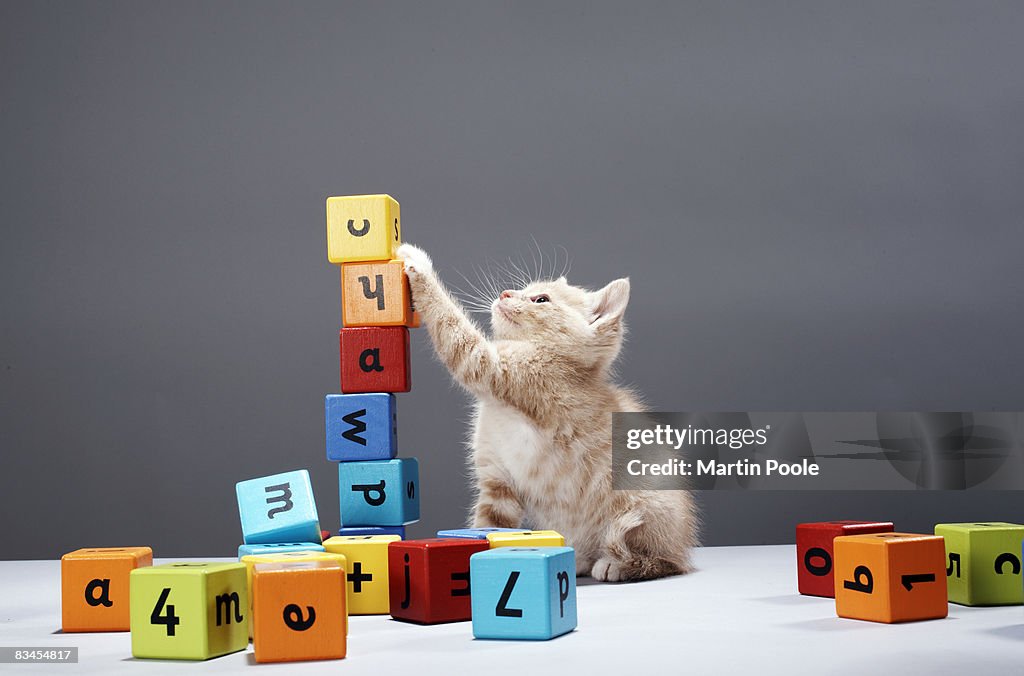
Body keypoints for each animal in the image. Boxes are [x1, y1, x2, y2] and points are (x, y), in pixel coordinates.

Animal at [395, 242, 700, 581]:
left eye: (540, 299)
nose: (505, 293)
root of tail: (682, 546)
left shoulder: (497, 369)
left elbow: (452, 328)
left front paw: (418, 264)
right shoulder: (498, 481)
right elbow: (489, 526)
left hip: (646, 502)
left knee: (665, 561)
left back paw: (619, 564)